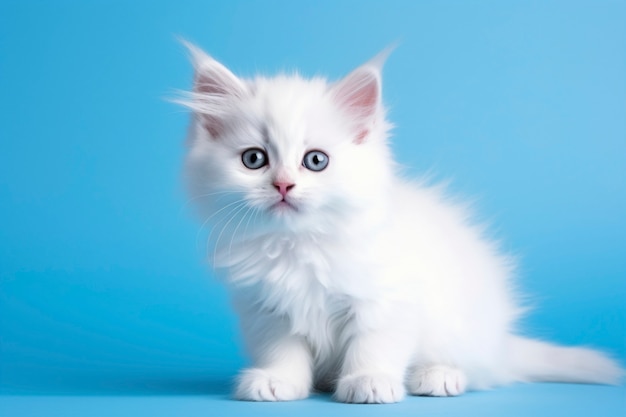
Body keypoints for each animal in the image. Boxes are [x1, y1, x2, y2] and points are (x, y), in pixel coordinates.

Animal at [174, 40, 620, 402]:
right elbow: (282, 350)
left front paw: (369, 381)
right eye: (254, 159)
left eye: (315, 161)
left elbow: (373, 345)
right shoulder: (267, 311)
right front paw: (277, 381)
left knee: (475, 372)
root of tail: (502, 345)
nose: (284, 185)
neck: (301, 244)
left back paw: (437, 376)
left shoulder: (387, 300)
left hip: (459, 330)